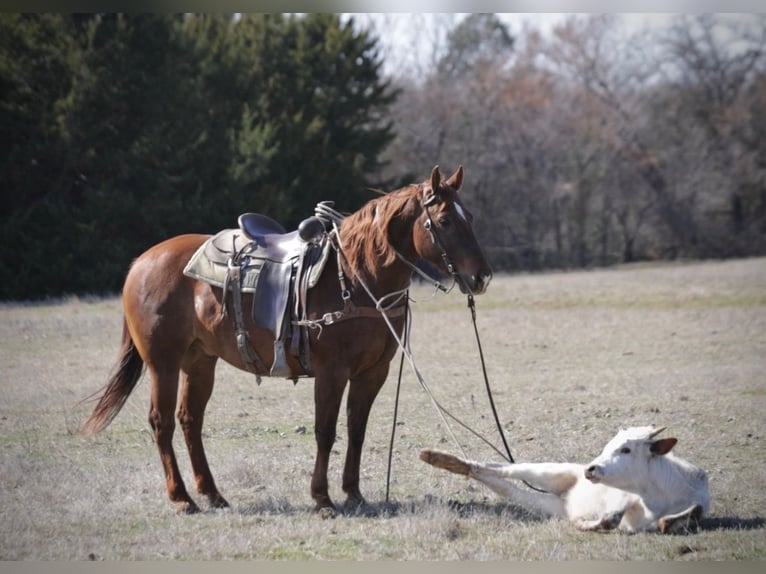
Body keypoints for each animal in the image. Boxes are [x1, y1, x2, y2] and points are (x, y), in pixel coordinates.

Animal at [82, 164, 492, 516]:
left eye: (471, 218)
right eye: (445, 221)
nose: (482, 277)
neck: (357, 277)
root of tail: (141, 262)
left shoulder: (373, 373)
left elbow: (356, 430)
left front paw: (354, 493)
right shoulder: (331, 372)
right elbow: (326, 431)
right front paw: (322, 498)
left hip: (200, 362)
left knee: (189, 419)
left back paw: (212, 494)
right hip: (163, 363)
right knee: (161, 422)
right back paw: (182, 498)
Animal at [424, 428, 712, 536]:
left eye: (627, 449)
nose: (590, 469)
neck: (656, 496)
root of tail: (567, 497)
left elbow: (691, 512)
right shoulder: (622, 496)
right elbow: (614, 514)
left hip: (549, 504)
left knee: (505, 487)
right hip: (551, 471)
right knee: (506, 469)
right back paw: (443, 459)